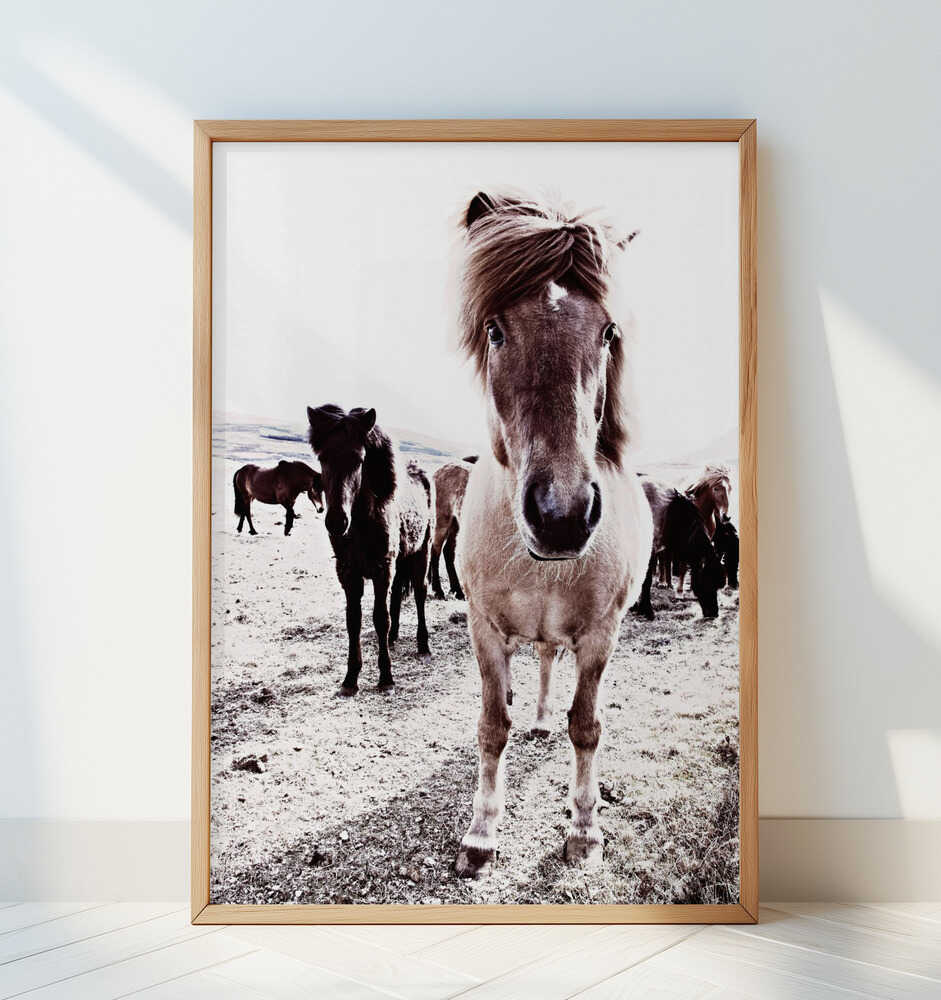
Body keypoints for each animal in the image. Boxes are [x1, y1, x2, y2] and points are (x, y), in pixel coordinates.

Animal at [307, 404, 432, 695]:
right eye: (322, 458)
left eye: (359, 459)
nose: (336, 521)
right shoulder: (348, 572)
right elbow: (354, 620)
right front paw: (350, 677)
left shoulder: (381, 569)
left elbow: (379, 618)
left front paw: (386, 677)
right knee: (397, 594)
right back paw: (394, 638)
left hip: (421, 552)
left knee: (420, 594)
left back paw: (423, 644)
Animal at [428, 457, 477, 600]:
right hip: (442, 521)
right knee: (435, 551)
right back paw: (438, 591)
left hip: (455, 524)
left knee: (448, 552)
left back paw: (457, 591)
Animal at [453, 191, 651, 878]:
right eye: (494, 330)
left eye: (609, 332)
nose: (562, 513)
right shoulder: (485, 629)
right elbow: (492, 725)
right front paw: (481, 834)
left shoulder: (600, 635)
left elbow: (586, 726)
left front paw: (586, 830)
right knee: (538, 665)